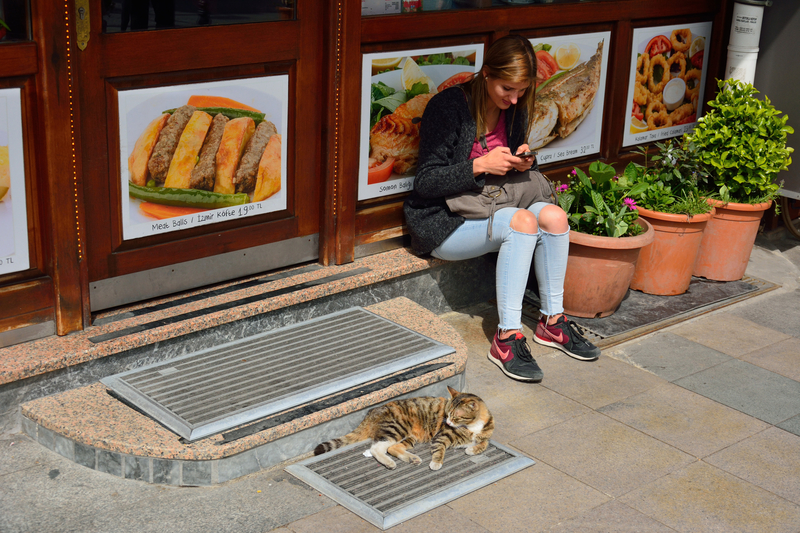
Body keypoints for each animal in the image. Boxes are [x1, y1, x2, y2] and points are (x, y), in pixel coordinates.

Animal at [314, 386, 494, 470]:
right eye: (447, 414)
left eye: (455, 416)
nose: (448, 422)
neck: (473, 426)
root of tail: (372, 411)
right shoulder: (440, 437)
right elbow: (439, 451)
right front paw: (436, 463)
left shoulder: (485, 435)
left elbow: (485, 444)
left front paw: (472, 449)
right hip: (396, 428)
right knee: (376, 448)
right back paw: (389, 463)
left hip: (410, 435)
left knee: (392, 448)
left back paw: (411, 458)